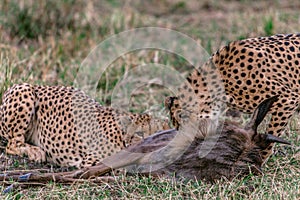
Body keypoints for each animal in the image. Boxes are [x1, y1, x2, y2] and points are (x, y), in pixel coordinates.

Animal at [0, 83, 169, 167]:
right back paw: (35, 152)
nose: (150, 145)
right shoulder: (91, 160)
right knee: (12, 144)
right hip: (24, 89)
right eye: (139, 134)